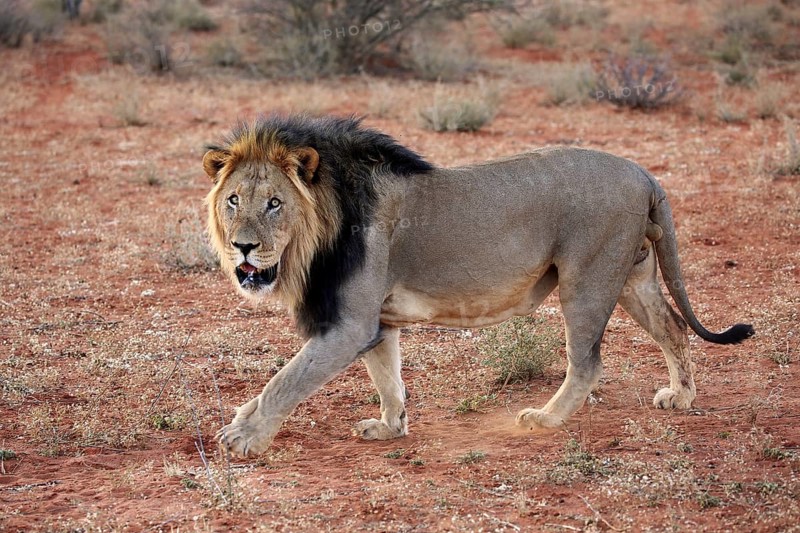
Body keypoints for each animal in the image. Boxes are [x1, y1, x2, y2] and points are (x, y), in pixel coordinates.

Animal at [203, 115, 754, 458]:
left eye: (274, 203)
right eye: (233, 200)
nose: (242, 247)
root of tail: (643, 172)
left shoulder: (347, 325)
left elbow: (284, 381)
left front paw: (243, 437)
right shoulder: (375, 322)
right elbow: (388, 379)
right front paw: (390, 427)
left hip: (587, 278)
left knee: (588, 361)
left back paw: (545, 419)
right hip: (633, 276)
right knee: (673, 328)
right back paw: (680, 397)